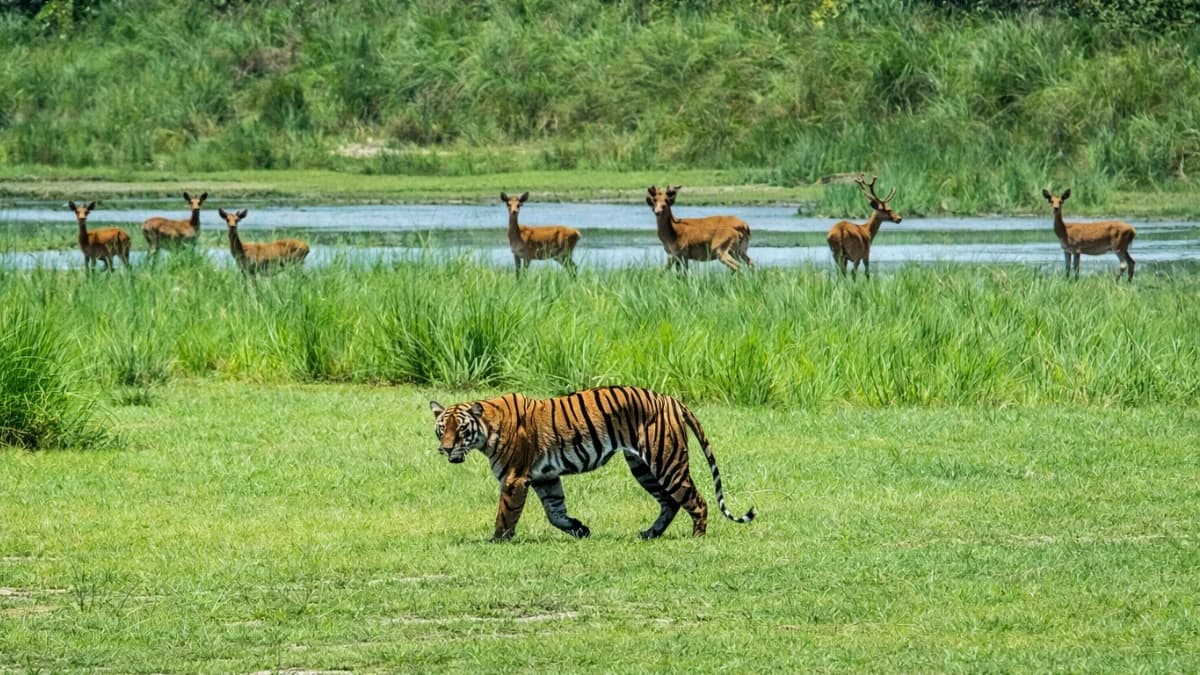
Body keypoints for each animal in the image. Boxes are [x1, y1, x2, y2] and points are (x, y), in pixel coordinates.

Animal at [429, 385, 755, 542]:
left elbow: (506, 514)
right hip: (643, 467)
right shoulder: (546, 477)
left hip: (667, 462)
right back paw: (649, 534)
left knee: (697, 501)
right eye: (442, 429)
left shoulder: (514, 478)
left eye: (461, 430)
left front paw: (497, 541)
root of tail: (672, 399)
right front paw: (580, 529)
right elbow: (555, 512)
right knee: (670, 502)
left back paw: (696, 537)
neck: (486, 430)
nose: (445, 449)